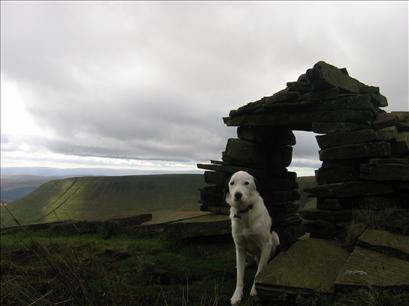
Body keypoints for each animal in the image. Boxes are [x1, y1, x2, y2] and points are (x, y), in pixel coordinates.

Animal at [225, 171, 278, 304]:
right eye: (232, 183)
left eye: (246, 183)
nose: (237, 195)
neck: (245, 212)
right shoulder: (239, 247)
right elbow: (239, 275)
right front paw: (237, 294)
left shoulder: (266, 244)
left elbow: (259, 272)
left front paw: (255, 289)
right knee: (249, 262)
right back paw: (246, 264)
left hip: (275, 237)